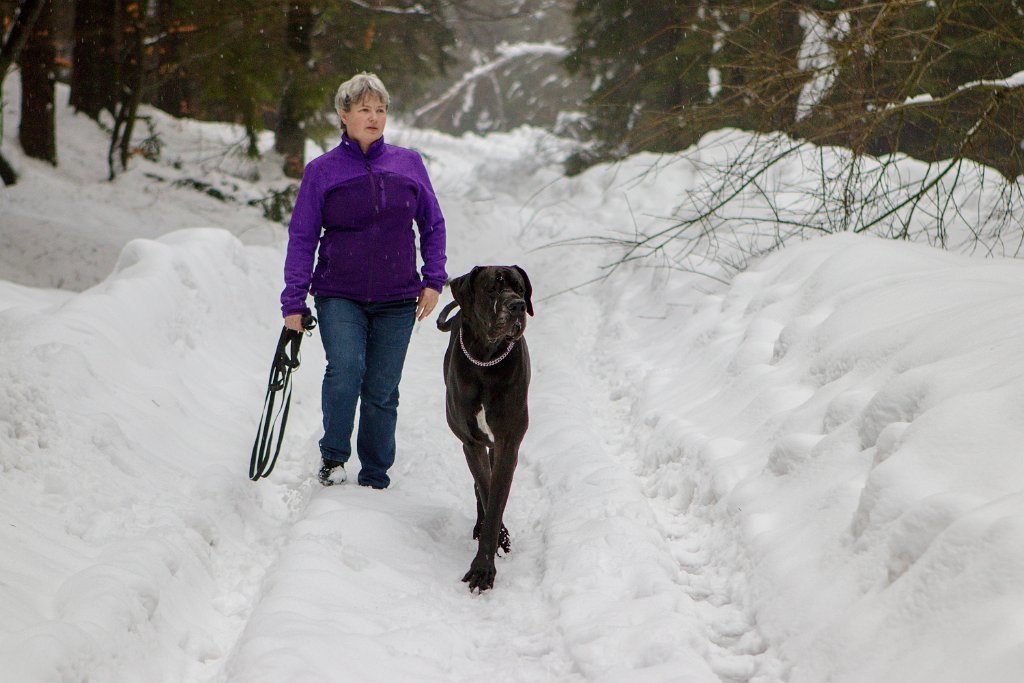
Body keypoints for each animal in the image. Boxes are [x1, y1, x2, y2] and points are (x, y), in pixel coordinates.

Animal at [434, 264, 532, 589]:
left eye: (520, 288)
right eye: (492, 289)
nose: (517, 306)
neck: (486, 361)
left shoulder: (507, 443)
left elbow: (495, 496)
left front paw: (483, 568)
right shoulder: (472, 442)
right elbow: (488, 491)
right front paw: (495, 540)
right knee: (480, 484)